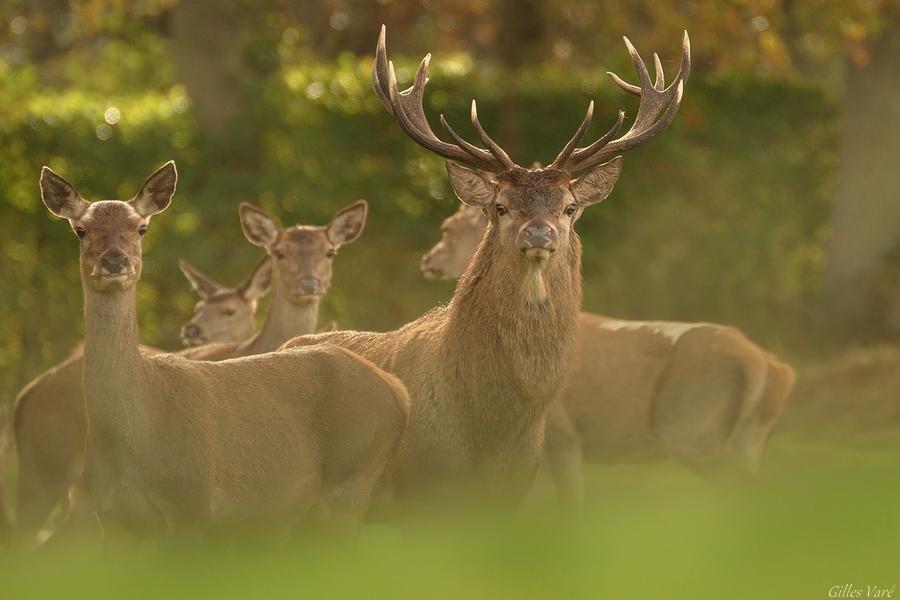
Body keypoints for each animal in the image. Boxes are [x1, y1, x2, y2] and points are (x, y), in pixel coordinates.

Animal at [27, 162, 408, 540]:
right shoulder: (111, 517)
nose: (115, 261)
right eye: (81, 229)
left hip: (352, 480)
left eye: (141, 228)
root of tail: (397, 391)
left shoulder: (194, 502)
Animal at [422, 200, 796, 502]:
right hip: (751, 437)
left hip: (692, 428)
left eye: (448, 228)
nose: (427, 260)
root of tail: (769, 365)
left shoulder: (562, 433)